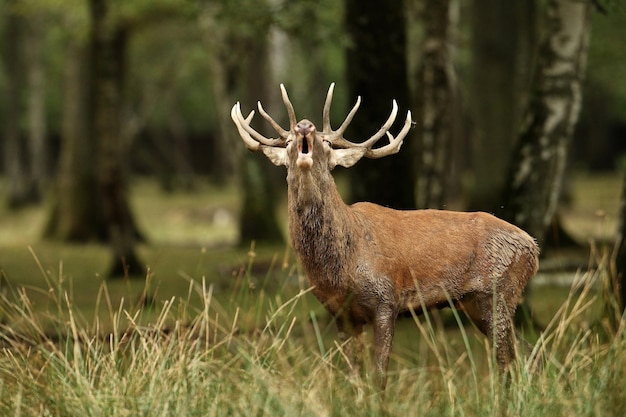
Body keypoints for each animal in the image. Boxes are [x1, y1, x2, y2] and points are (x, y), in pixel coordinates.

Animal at [229, 83, 536, 388]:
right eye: (288, 142)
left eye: (327, 144)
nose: (304, 126)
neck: (342, 267)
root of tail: (533, 247)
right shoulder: (340, 313)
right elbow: (354, 375)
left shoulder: (387, 299)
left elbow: (378, 376)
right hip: (475, 302)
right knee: (523, 351)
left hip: (500, 290)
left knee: (508, 358)